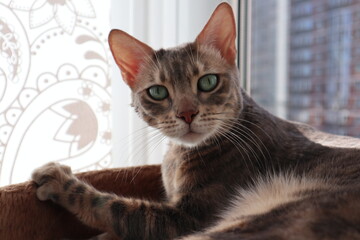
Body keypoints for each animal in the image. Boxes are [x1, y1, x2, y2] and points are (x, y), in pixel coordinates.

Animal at [31, 2, 360, 240]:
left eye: (208, 81)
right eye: (158, 91)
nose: (186, 113)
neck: (177, 157)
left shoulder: (185, 219)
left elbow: (113, 207)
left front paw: (57, 178)